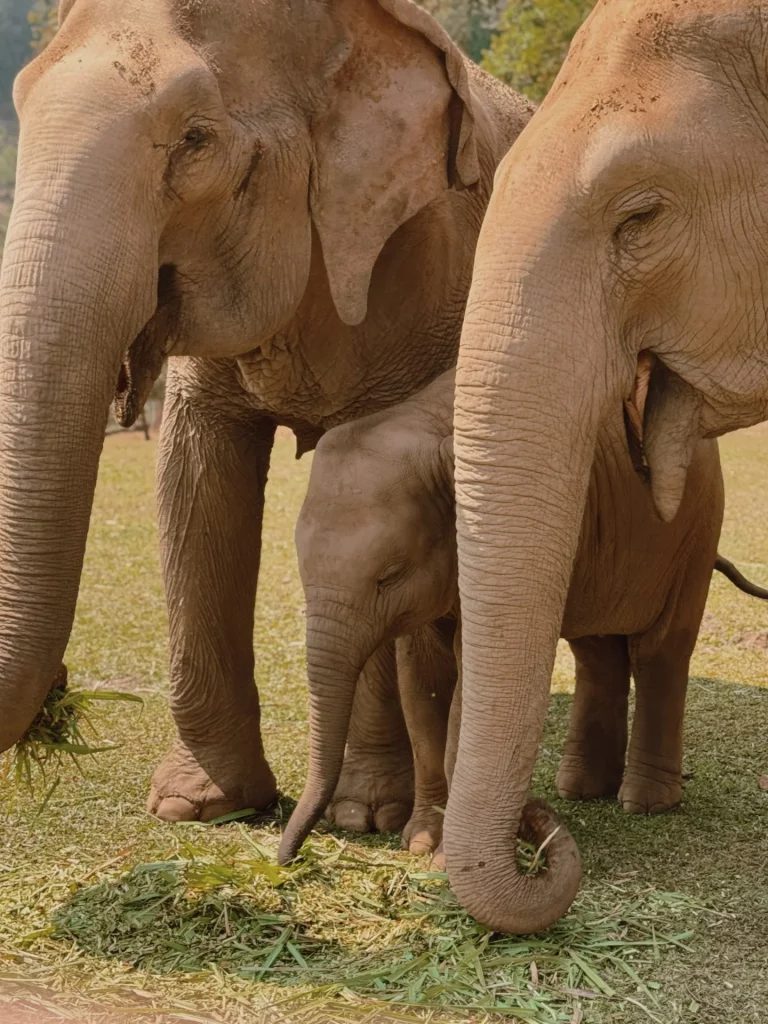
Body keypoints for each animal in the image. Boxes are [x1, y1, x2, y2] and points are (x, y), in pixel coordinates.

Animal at [0, 0, 533, 824]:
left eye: (195, 139)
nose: (60, 689)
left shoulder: (434, 264)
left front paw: (363, 814)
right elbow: (197, 483)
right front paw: (198, 805)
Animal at [278, 367, 765, 879]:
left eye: (388, 576)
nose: (289, 858)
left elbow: (470, 686)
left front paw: (442, 856)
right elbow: (423, 683)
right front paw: (421, 842)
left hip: (695, 532)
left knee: (660, 650)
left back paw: (645, 803)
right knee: (596, 649)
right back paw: (582, 789)